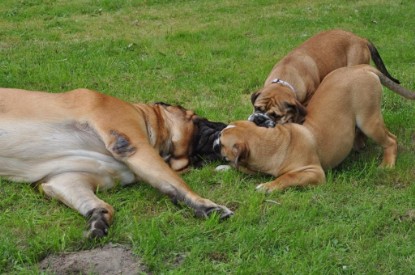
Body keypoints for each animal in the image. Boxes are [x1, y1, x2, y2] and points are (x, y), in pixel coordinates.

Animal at [0, 88, 234, 237]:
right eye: (199, 120)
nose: (223, 125)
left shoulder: (65, 179)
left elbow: (97, 204)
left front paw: (99, 218)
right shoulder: (134, 145)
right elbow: (177, 183)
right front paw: (209, 206)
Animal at [216, 66, 414, 193]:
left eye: (222, 142)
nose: (215, 139)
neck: (273, 141)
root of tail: (361, 68)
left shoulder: (313, 172)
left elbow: (286, 178)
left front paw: (268, 187)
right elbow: (243, 168)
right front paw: (225, 168)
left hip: (369, 121)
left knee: (391, 140)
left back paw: (387, 164)